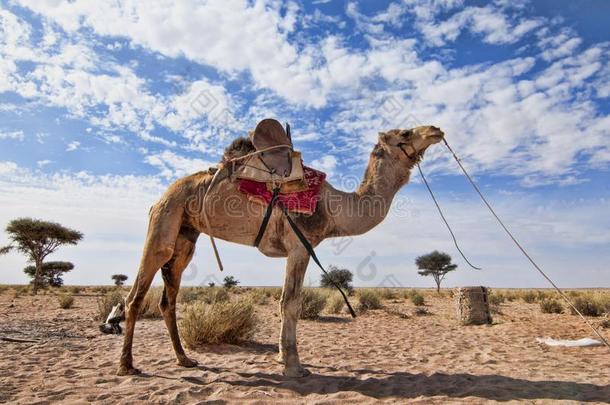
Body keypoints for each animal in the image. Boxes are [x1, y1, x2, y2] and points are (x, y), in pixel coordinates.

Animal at [117, 123, 442, 376]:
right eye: (405, 132)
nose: (436, 130)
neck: (333, 208)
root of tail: (162, 195)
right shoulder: (300, 246)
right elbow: (291, 303)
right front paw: (294, 366)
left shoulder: (295, 248)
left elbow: (285, 301)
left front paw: (282, 358)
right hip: (164, 221)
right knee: (136, 296)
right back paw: (127, 365)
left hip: (186, 235)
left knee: (168, 298)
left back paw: (184, 359)